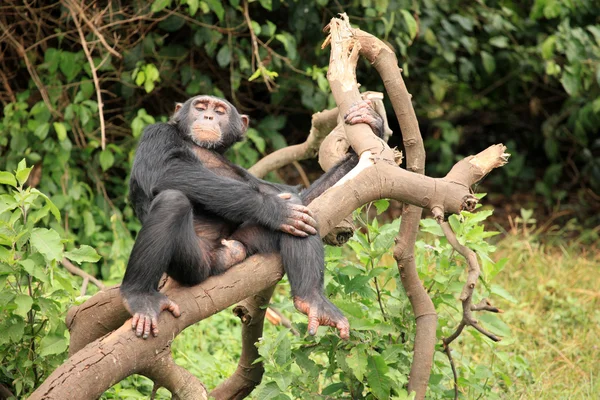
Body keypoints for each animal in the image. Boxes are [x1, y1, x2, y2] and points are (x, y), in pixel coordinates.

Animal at [122, 94, 384, 340]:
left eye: (220, 111)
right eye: (200, 106)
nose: (208, 116)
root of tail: (219, 259)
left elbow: (297, 194)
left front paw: (372, 126)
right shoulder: (156, 133)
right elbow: (166, 171)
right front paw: (275, 209)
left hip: (243, 242)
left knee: (299, 213)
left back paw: (312, 300)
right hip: (193, 264)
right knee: (172, 202)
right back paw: (138, 296)